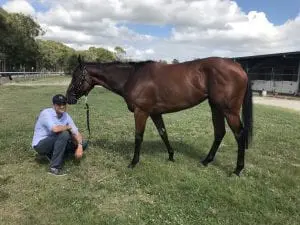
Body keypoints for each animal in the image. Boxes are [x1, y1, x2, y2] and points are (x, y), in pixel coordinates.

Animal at [66, 56, 253, 176]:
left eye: (76, 77)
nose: (68, 97)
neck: (133, 76)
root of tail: (238, 67)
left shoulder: (141, 112)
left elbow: (138, 137)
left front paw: (133, 162)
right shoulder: (155, 113)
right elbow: (163, 133)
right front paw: (171, 156)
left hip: (229, 111)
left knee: (239, 135)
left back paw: (237, 169)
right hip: (216, 108)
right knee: (219, 132)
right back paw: (206, 161)